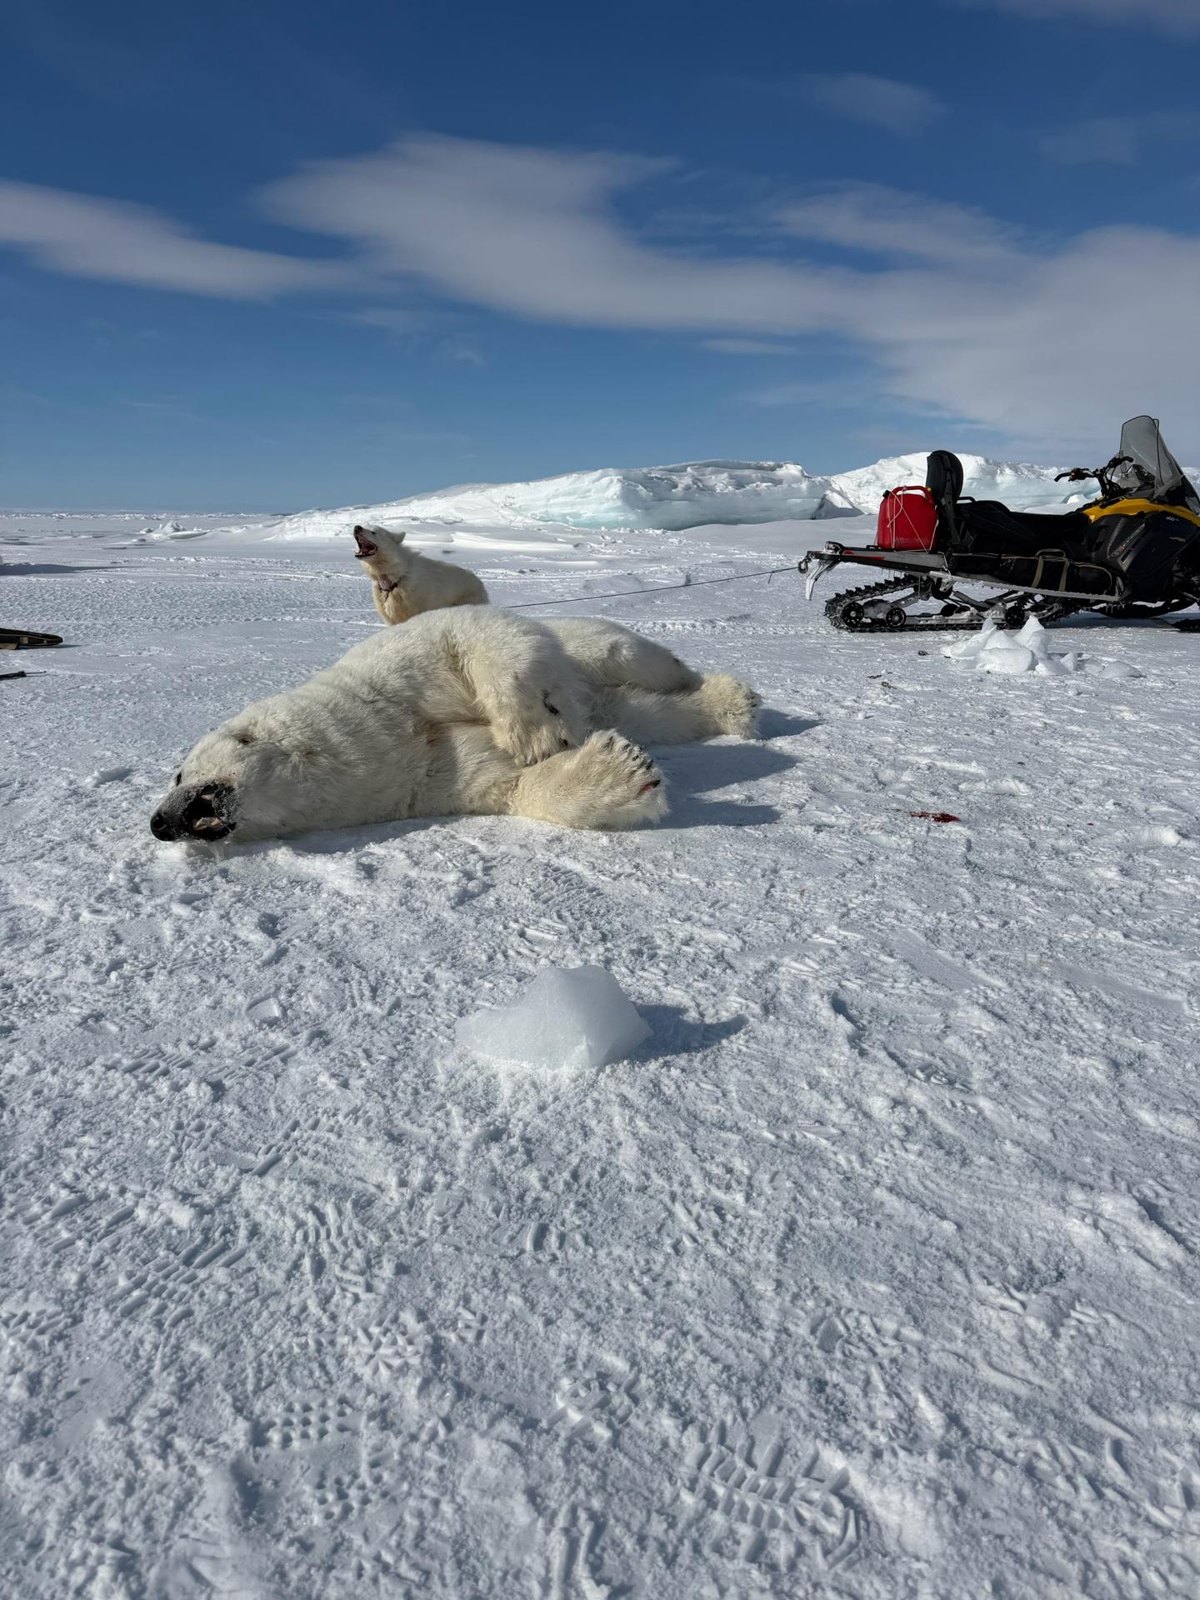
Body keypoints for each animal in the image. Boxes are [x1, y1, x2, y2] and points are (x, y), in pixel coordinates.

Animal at [150, 605, 760, 845]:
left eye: (179, 775)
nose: (161, 823)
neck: (384, 730)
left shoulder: (395, 672)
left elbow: (472, 633)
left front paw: (535, 732)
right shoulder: (417, 777)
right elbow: (501, 783)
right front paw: (621, 770)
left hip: (586, 641)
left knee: (632, 658)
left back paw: (730, 693)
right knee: (646, 711)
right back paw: (730, 705)